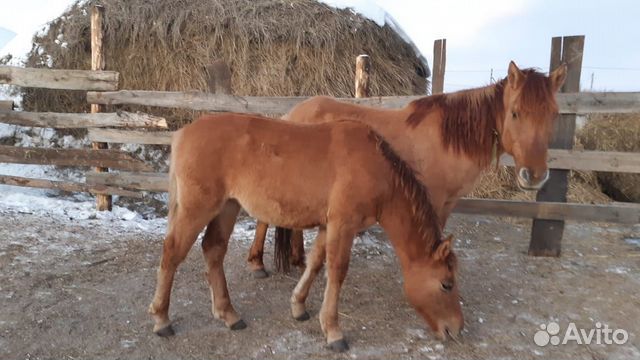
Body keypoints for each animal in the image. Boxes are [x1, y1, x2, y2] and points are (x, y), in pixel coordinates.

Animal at [148, 112, 462, 352]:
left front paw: (299, 306)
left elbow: (315, 263)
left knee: (213, 250)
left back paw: (228, 314)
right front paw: (333, 331)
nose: (455, 329)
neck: (374, 166)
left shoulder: (327, 225)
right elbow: (336, 271)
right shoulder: (343, 225)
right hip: (197, 209)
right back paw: (162, 318)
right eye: (446, 284)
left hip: (228, 207)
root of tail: (183, 133)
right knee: (172, 253)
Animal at [248, 60, 568, 274]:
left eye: (554, 114)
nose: (534, 176)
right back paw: (257, 262)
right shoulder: (432, 199)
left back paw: (296, 259)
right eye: (515, 113)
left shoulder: (448, 203)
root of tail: (293, 114)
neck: (448, 139)